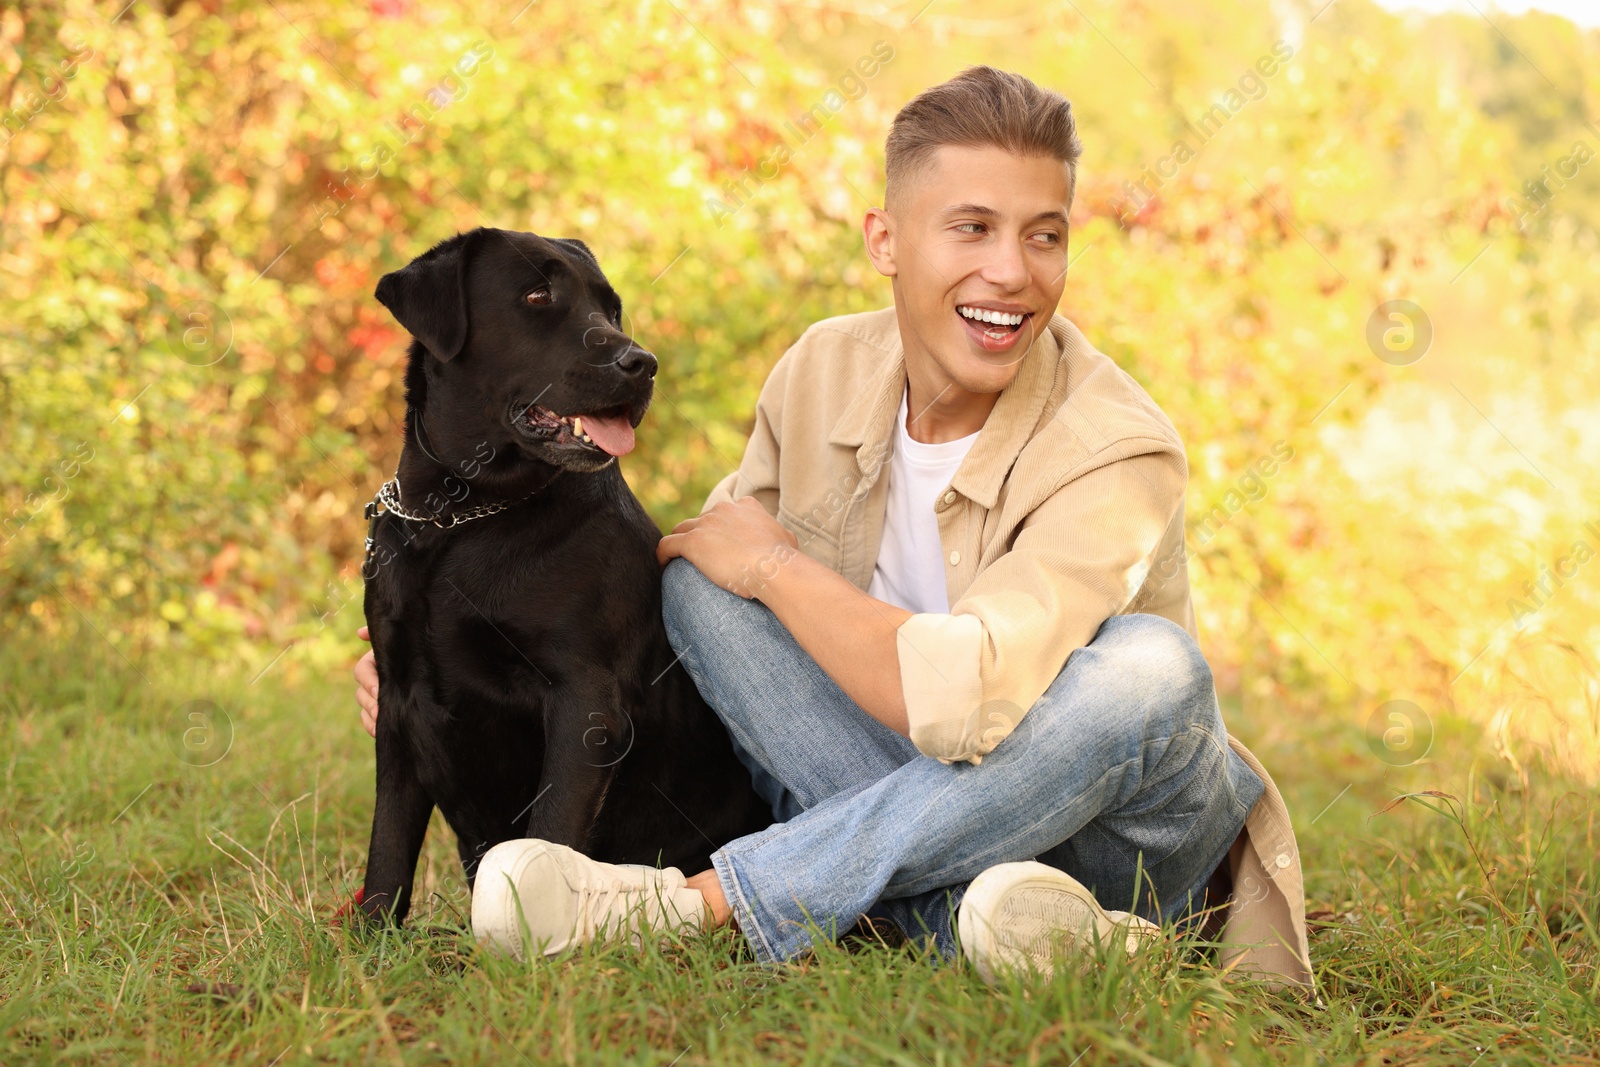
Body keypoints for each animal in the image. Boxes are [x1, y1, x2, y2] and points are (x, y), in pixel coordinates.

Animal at [356, 227, 768, 927]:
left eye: (612, 309)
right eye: (536, 295)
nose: (642, 363)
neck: (460, 518)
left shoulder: (584, 698)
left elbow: (550, 830)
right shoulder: (398, 695)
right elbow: (388, 842)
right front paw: (368, 940)